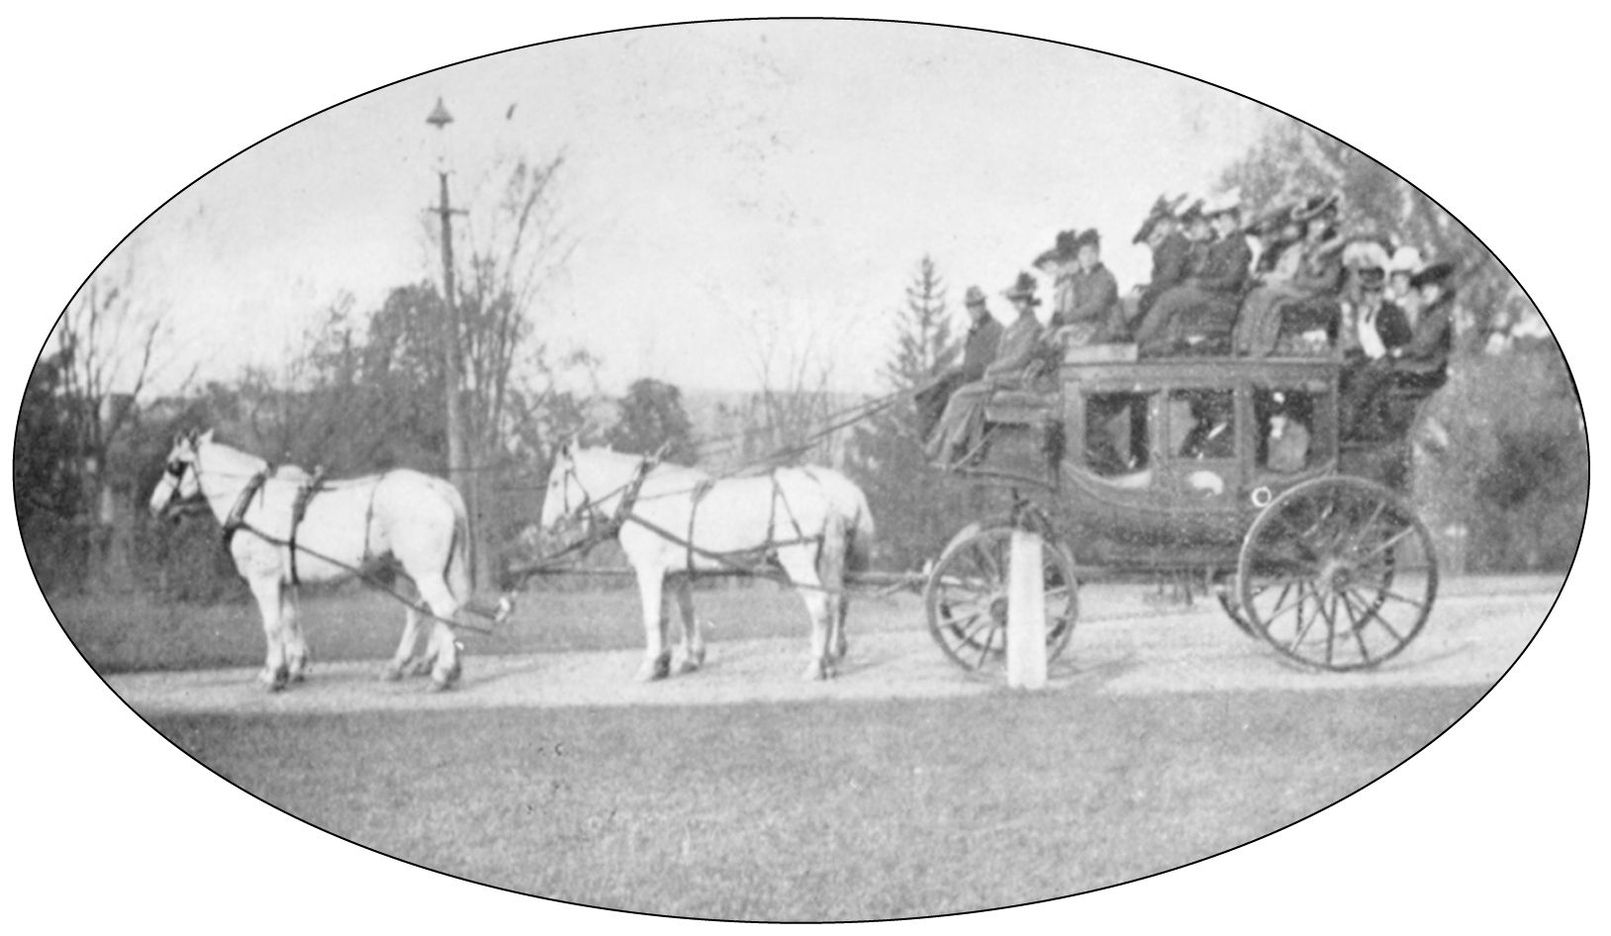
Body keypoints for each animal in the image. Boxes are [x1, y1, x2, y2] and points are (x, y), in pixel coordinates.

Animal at [147, 428, 473, 686]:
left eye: (174, 465)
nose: (155, 505)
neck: (250, 502)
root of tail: (435, 486)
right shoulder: (284, 580)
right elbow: (291, 620)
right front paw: (294, 668)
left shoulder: (264, 580)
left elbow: (272, 624)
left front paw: (273, 674)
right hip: (418, 569)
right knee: (423, 611)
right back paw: (412, 665)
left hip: (424, 571)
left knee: (442, 608)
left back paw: (442, 672)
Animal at [538, 444, 869, 679]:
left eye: (554, 483)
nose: (546, 526)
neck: (642, 496)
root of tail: (826, 496)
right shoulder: (675, 573)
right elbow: (680, 613)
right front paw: (679, 660)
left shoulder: (649, 570)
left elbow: (653, 616)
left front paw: (650, 666)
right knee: (837, 602)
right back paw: (830, 661)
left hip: (798, 562)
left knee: (820, 607)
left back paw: (815, 666)